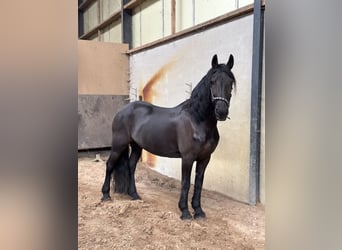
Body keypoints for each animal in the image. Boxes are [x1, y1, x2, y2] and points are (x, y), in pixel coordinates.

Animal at [101, 54, 235, 219]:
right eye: (212, 81)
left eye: (230, 83)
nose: (221, 112)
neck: (197, 120)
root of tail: (123, 110)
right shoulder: (187, 157)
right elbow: (185, 183)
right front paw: (185, 212)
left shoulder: (205, 158)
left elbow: (198, 183)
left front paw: (198, 211)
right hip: (118, 144)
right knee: (109, 165)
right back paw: (105, 196)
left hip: (137, 146)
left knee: (131, 166)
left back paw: (134, 195)